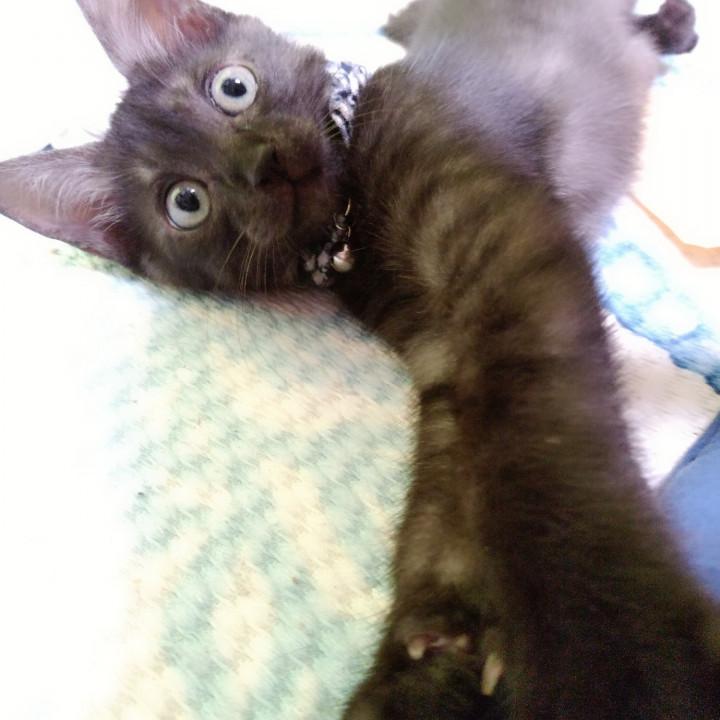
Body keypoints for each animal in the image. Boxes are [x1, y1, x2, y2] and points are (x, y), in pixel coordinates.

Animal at [0, 1, 717, 719]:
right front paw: (428, 665)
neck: (354, 231)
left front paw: (620, 657)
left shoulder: (507, 260)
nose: (262, 163)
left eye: (232, 88)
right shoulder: (440, 352)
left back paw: (676, 24)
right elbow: (446, 491)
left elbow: (543, 455)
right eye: (186, 202)